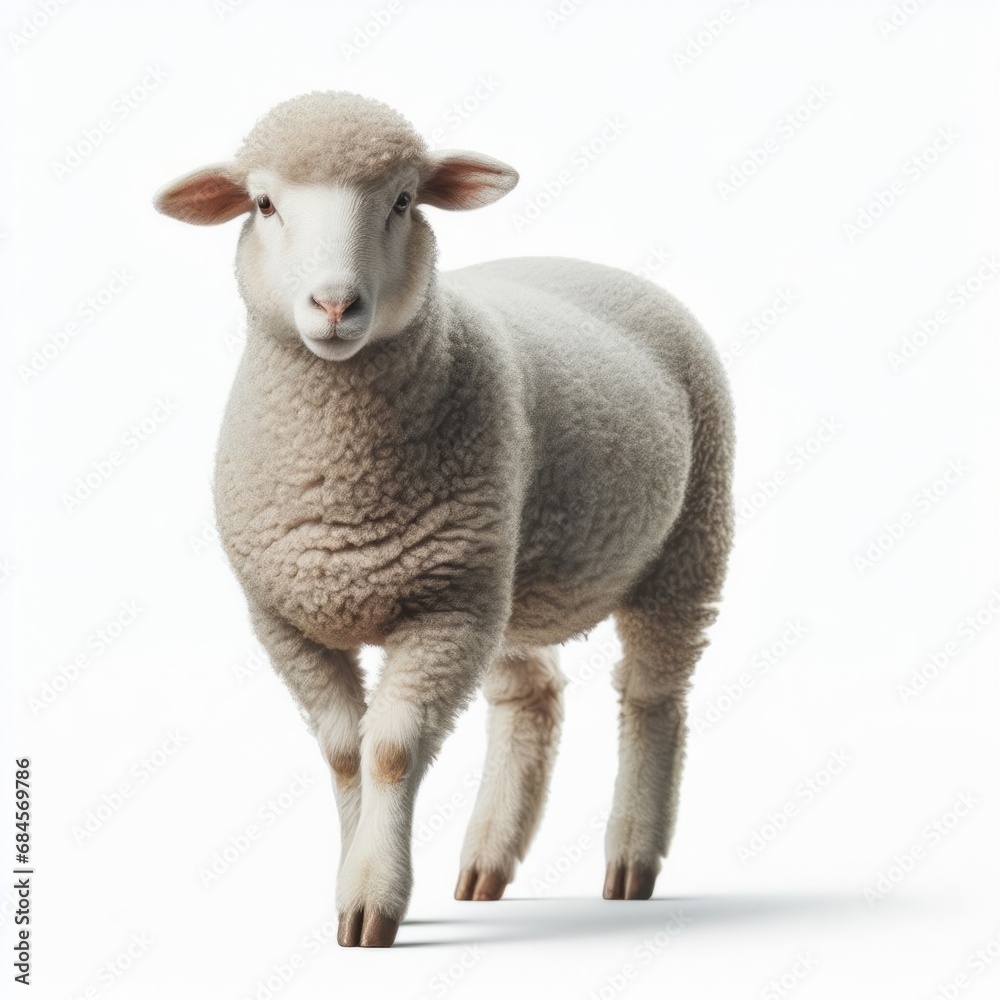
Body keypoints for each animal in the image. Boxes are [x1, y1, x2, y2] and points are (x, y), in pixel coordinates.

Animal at [153, 90, 734, 948]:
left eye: (402, 200)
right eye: (263, 204)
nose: (335, 304)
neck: (340, 470)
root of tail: (593, 266)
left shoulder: (443, 610)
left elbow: (390, 752)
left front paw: (371, 898)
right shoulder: (290, 621)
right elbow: (343, 753)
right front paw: (351, 879)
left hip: (687, 542)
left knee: (653, 696)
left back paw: (632, 858)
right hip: (506, 579)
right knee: (531, 695)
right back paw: (487, 863)